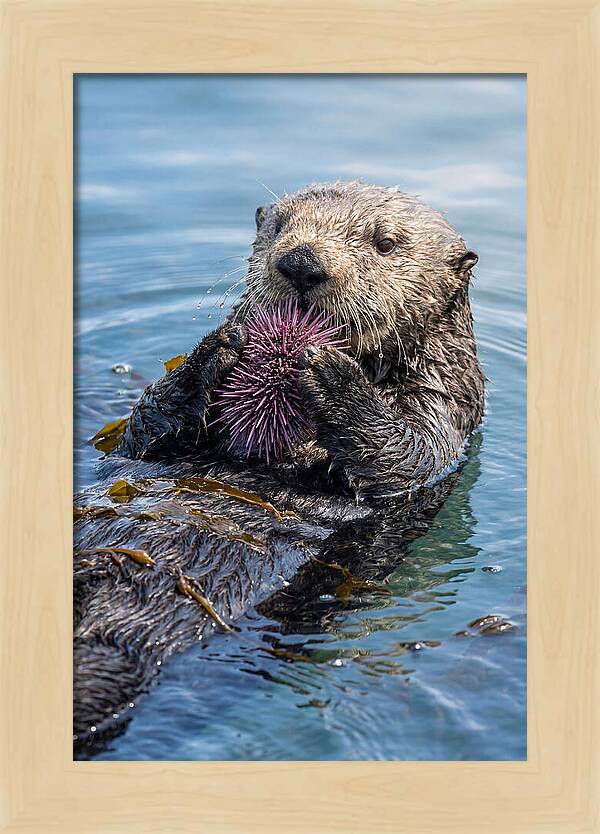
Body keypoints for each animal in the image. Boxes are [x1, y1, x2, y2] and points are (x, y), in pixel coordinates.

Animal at [74, 182, 484, 757]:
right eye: (279, 225)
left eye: (385, 243)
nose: (301, 262)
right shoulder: (147, 443)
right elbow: (142, 430)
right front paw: (217, 348)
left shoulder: (444, 411)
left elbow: (406, 457)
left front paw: (334, 377)